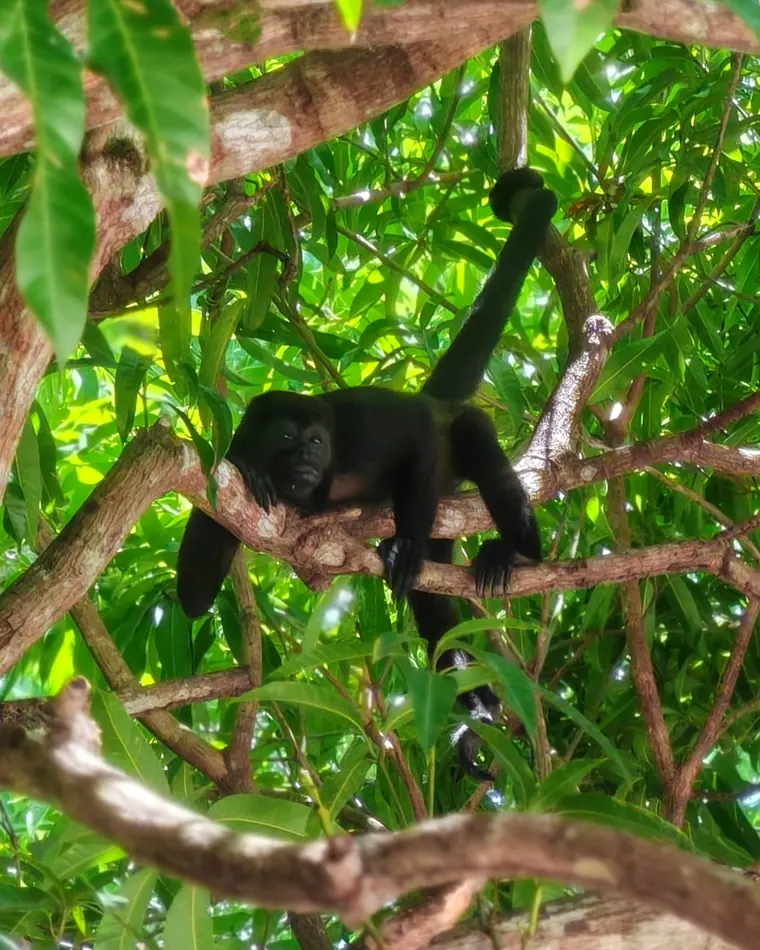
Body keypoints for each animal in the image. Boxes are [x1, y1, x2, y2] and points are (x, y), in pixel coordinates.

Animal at [176, 167, 557, 776]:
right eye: (287, 438)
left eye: (315, 440)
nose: (307, 459)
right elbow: (194, 594)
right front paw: (247, 467)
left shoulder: (357, 425)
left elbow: (413, 436)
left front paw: (403, 548)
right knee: (436, 606)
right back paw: (478, 705)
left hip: (454, 449)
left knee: (472, 444)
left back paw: (515, 554)